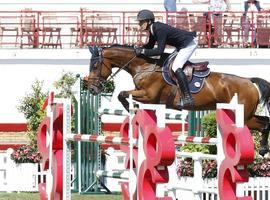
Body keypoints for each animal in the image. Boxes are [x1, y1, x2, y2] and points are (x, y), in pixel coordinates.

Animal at [85, 44, 270, 157]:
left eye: (95, 66)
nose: (93, 89)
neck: (144, 66)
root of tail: (249, 81)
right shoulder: (149, 98)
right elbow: (122, 94)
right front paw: (135, 109)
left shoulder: (149, 95)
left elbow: (122, 94)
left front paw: (133, 108)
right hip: (245, 114)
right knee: (265, 121)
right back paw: (263, 149)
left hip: (243, 116)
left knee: (264, 124)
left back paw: (261, 149)